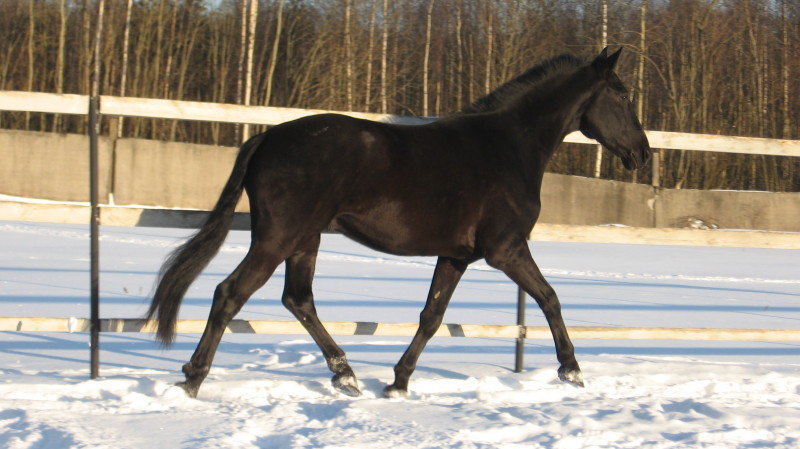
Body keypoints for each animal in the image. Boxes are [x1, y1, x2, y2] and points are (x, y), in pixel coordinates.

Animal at [148, 48, 648, 400]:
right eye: (623, 94)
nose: (643, 154)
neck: (511, 146)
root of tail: (266, 137)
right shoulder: (505, 250)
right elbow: (550, 298)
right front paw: (572, 371)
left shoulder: (456, 256)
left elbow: (432, 316)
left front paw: (398, 382)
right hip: (277, 238)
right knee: (230, 294)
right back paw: (192, 378)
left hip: (305, 240)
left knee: (298, 299)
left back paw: (346, 375)